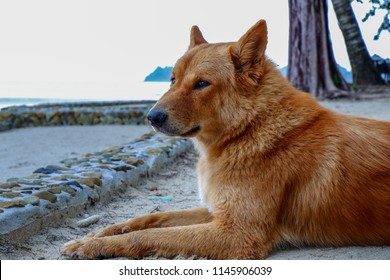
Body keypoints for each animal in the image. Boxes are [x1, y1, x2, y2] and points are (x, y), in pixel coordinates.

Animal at [62, 20, 388, 260]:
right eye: (172, 79)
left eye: (202, 84)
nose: (151, 117)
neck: (249, 129)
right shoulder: (216, 211)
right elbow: (152, 219)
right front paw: (99, 235)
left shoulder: (235, 234)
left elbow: (150, 235)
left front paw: (94, 246)